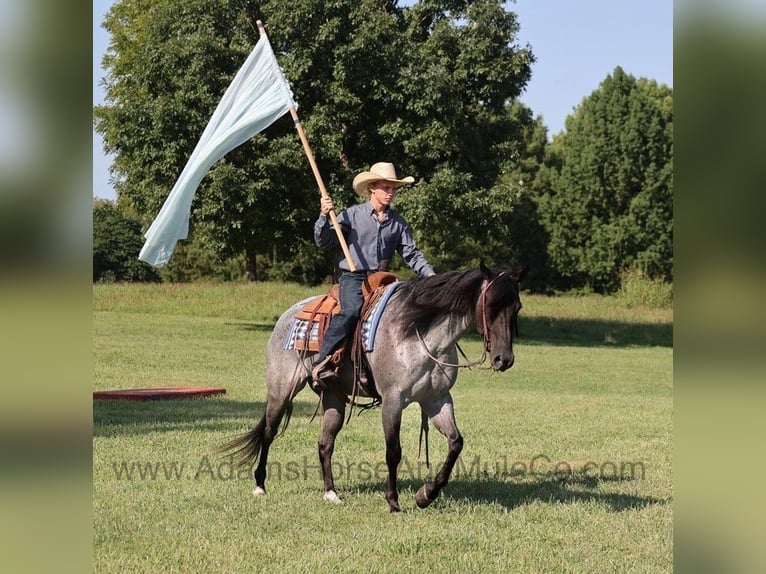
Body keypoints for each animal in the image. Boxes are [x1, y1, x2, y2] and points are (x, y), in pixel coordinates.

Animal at [224, 262, 526, 512]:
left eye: (517, 308)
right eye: (490, 305)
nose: (504, 359)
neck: (416, 332)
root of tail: (287, 316)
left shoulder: (437, 399)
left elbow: (455, 443)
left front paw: (426, 495)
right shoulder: (393, 401)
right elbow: (394, 452)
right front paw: (393, 502)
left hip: (333, 398)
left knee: (325, 443)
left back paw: (331, 493)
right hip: (281, 391)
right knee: (268, 433)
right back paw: (260, 486)